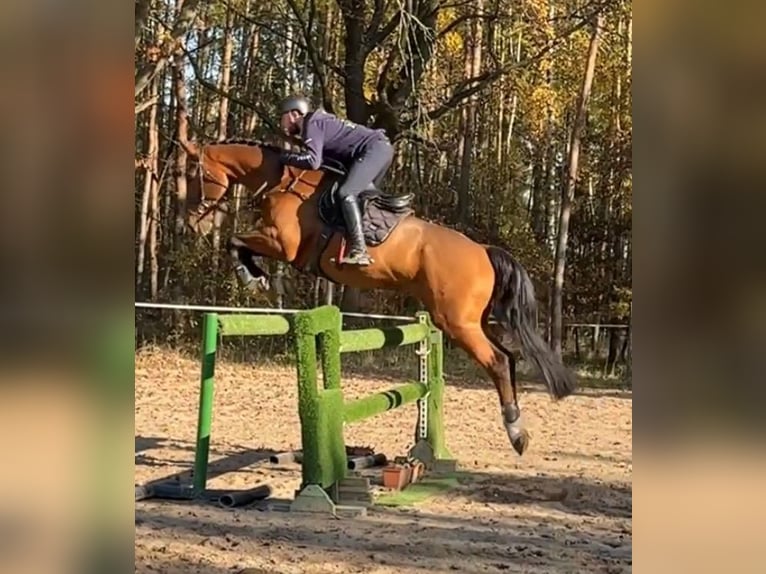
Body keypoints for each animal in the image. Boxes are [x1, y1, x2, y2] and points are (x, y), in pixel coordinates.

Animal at [182, 138, 576, 454]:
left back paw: (516, 433)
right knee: (509, 357)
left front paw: (252, 277)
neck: (284, 181)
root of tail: (483, 250)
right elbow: (240, 243)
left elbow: (236, 241)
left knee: (496, 362)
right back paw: (517, 425)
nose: (193, 224)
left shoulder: (283, 243)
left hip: (456, 322)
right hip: (473, 320)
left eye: (192, 174)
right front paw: (256, 277)